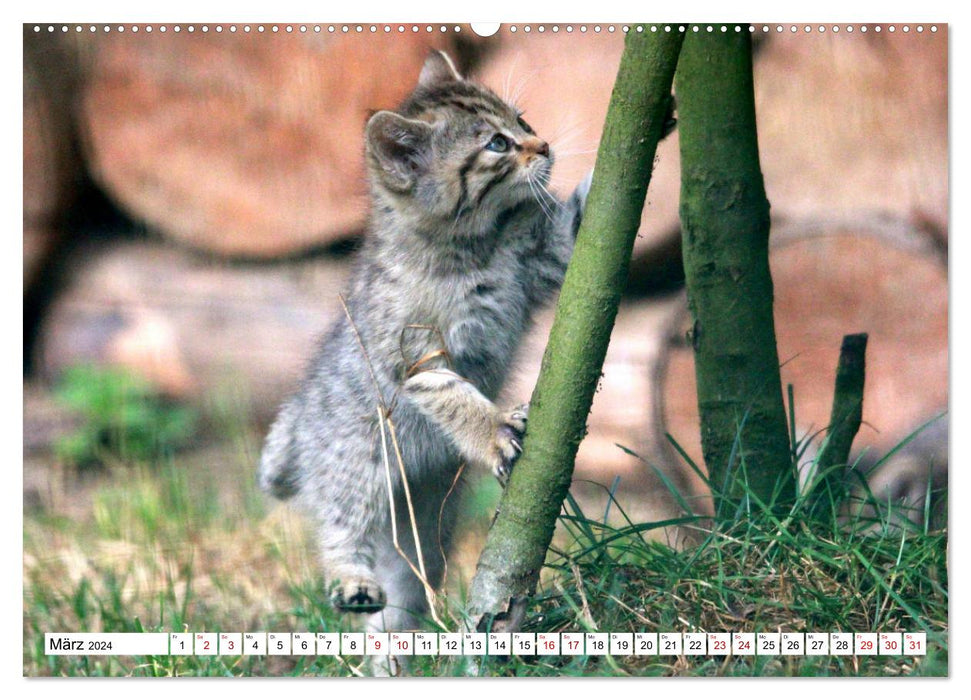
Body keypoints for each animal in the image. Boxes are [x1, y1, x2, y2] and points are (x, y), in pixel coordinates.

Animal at [258, 50, 588, 636]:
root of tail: (296, 415)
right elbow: (455, 396)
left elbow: (579, 214)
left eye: (522, 120)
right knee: (340, 527)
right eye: (496, 144)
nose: (545, 145)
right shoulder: (417, 357)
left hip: (422, 535)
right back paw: (350, 579)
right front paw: (494, 428)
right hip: (356, 467)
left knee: (399, 605)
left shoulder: (547, 251)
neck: (473, 246)